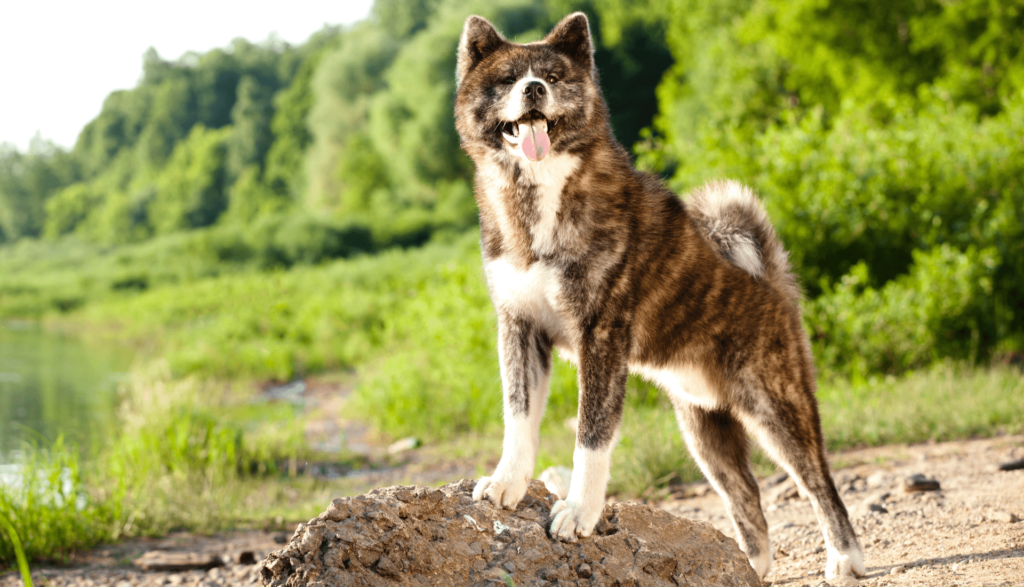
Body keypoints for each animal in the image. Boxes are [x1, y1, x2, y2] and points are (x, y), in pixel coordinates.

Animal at [454, 11, 864, 577]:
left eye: (554, 77)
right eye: (508, 79)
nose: (534, 89)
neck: (539, 198)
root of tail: (771, 280)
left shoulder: (600, 339)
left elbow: (590, 439)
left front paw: (579, 512)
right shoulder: (520, 329)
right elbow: (518, 420)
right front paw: (506, 483)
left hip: (776, 409)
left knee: (820, 485)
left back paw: (845, 558)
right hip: (703, 431)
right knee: (747, 496)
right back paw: (748, 568)